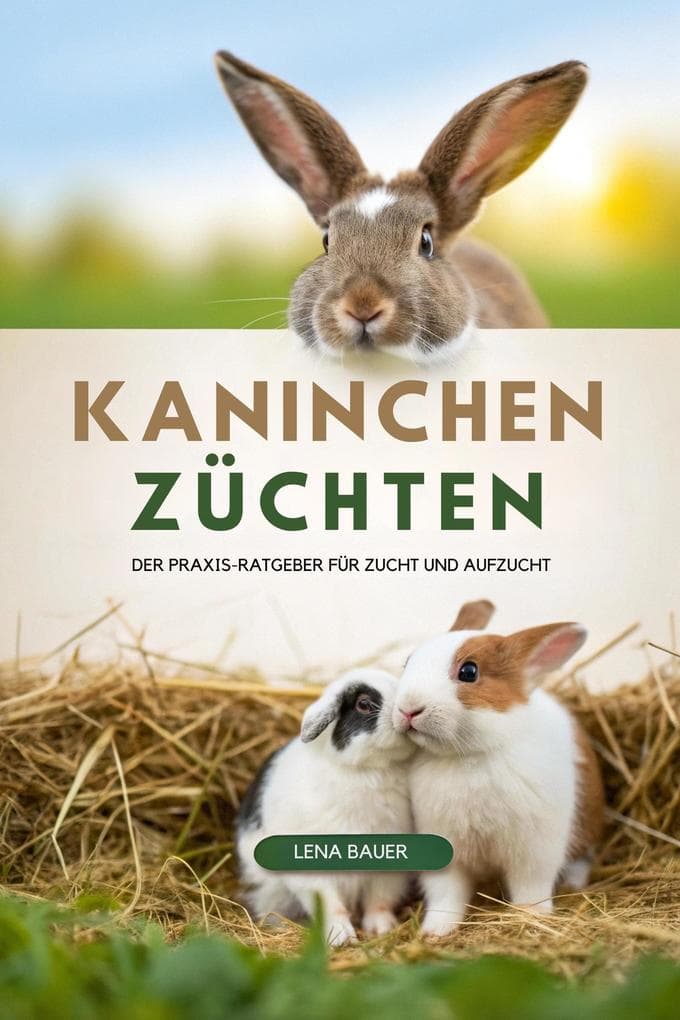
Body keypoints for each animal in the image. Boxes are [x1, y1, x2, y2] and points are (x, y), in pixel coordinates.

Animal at [236, 668, 414, 946]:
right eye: (363, 704)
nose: (406, 713)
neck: (369, 770)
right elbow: (331, 906)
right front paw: (341, 937)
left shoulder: (390, 866)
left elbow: (379, 901)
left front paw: (382, 929)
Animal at [393, 600, 604, 938]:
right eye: (408, 661)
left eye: (469, 672)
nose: (408, 709)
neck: (469, 756)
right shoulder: (446, 854)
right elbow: (446, 896)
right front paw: (435, 931)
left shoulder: (535, 852)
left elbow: (531, 889)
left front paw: (532, 918)